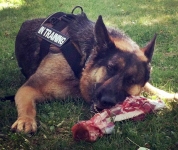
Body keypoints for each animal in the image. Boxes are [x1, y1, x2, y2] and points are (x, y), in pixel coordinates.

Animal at [11, 7, 177, 132]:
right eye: (110, 68)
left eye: (131, 80)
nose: (107, 101)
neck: (83, 60)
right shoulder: (29, 88)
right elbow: (27, 106)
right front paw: (25, 120)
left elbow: (150, 87)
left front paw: (169, 95)